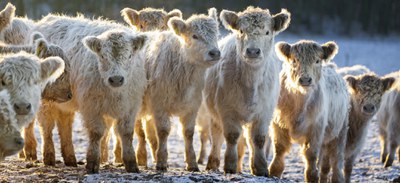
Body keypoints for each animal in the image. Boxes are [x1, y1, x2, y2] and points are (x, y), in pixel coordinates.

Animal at [35, 15, 148, 174]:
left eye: (130, 55)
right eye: (102, 56)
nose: (116, 79)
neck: (115, 93)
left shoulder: (130, 107)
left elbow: (126, 133)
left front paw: (131, 164)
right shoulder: (91, 106)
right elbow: (96, 132)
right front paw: (92, 163)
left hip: (64, 101)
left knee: (65, 125)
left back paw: (70, 158)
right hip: (46, 102)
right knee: (47, 127)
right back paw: (49, 157)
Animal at [133, 8, 220, 172]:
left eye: (216, 34)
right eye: (194, 35)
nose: (215, 53)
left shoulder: (192, 106)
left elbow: (189, 133)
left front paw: (192, 163)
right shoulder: (159, 105)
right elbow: (163, 131)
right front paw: (161, 162)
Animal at [203, 6, 290, 176]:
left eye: (267, 32)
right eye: (242, 31)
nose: (253, 51)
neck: (251, 85)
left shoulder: (265, 112)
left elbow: (259, 139)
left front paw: (261, 168)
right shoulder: (226, 110)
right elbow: (231, 136)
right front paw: (230, 166)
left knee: (249, 139)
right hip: (214, 113)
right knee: (217, 135)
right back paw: (213, 163)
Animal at [268, 39, 350, 182]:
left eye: (317, 60)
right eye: (294, 60)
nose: (305, 79)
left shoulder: (316, 129)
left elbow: (311, 155)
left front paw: (312, 177)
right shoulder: (278, 124)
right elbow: (279, 150)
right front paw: (273, 173)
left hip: (340, 132)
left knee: (336, 161)